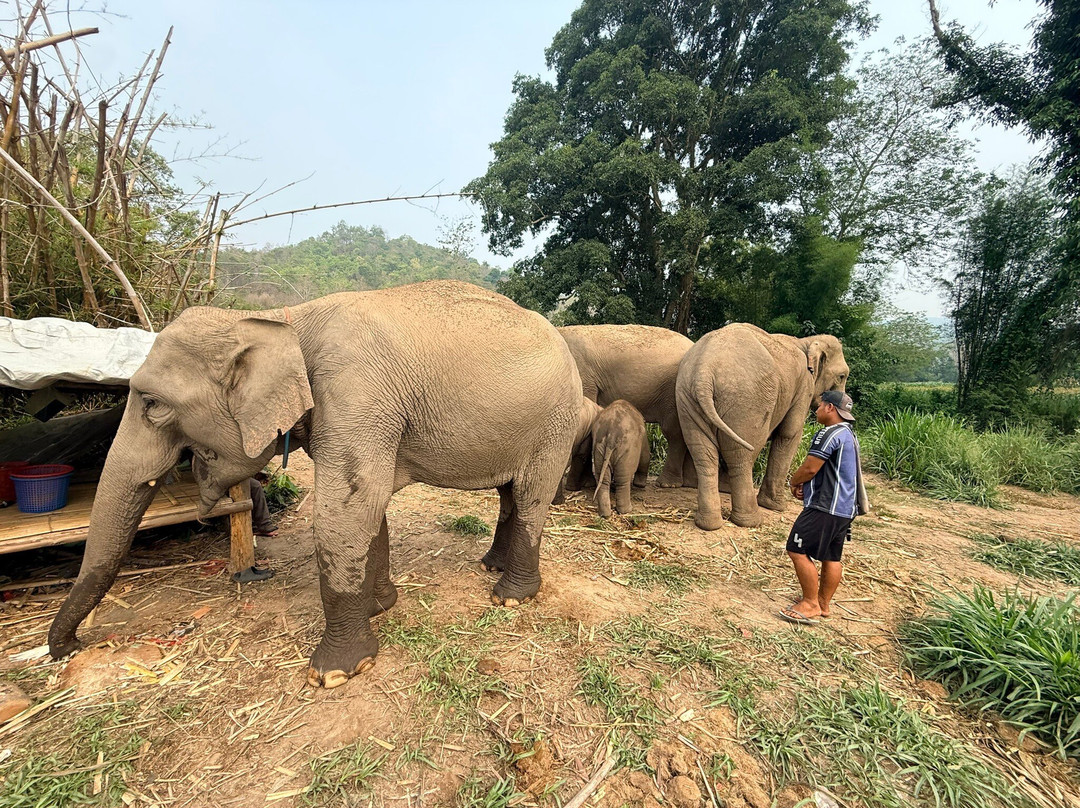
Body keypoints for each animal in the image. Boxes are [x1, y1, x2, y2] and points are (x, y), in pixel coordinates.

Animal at [48, 281, 582, 689]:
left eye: (153, 404)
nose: (72, 647)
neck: (281, 322)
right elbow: (368, 507)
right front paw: (380, 606)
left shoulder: (356, 395)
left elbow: (344, 511)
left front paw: (334, 674)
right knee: (509, 494)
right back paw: (492, 566)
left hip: (556, 421)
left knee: (531, 495)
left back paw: (511, 596)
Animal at [558, 325, 694, 488]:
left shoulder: (584, 376)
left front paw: (586, 484)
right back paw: (689, 483)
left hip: (674, 392)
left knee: (673, 432)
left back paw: (667, 484)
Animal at [675, 324, 849, 530]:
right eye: (842, 376)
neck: (806, 342)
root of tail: (704, 370)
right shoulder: (803, 387)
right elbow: (789, 433)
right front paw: (776, 506)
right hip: (746, 401)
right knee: (741, 456)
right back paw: (751, 520)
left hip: (688, 398)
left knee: (704, 455)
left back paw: (709, 523)